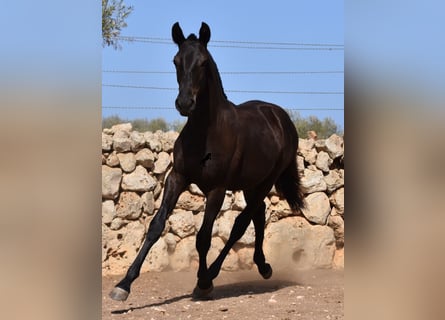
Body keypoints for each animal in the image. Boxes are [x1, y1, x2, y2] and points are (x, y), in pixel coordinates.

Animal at [111, 21, 306, 300]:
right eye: (176, 60)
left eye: (203, 62)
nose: (184, 103)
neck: (206, 132)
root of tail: (280, 117)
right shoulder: (177, 177)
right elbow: (156, 226)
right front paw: (123, 285)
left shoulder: (217, 189)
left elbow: (203, 237)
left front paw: (202, 283)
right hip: (251, 184)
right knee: (258, 215)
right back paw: (263, 266)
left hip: (266, 182)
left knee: (241, 223)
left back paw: (214, 273)